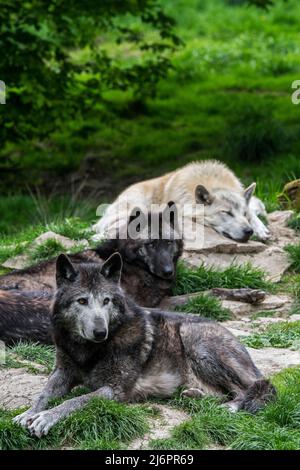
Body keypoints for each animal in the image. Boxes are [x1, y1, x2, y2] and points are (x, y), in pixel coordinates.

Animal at [14, 253, 276, 436]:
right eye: (82, 301)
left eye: (106, 301)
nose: (100, 332)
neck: (88, 350)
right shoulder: (63, 371)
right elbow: (44, 393)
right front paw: (27, 413)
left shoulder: (115, 390)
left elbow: (74, 401)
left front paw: (45, 418)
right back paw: (194, 396)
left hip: (195, 340)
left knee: (250, 389)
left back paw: (228, 408)